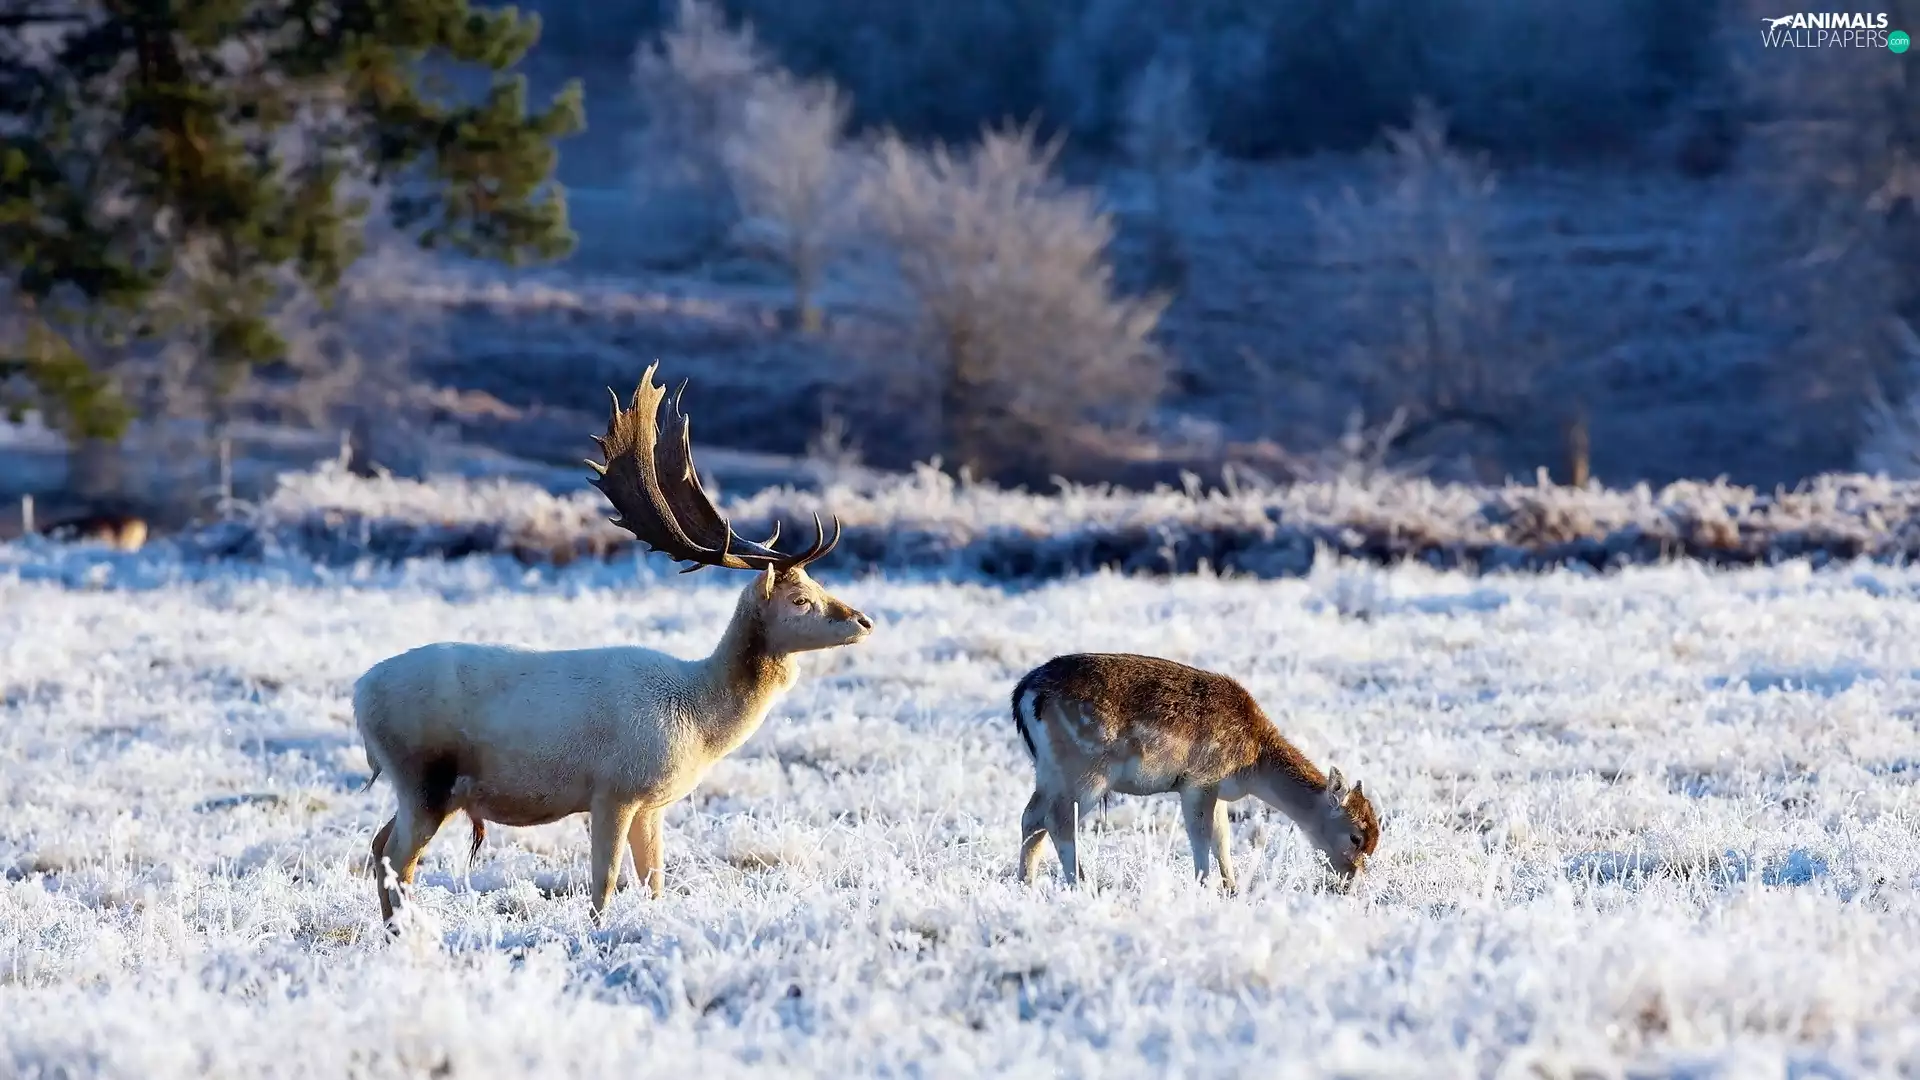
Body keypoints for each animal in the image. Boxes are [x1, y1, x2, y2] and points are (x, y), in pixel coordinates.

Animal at [353, 362, 874, 929]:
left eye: (819, 584)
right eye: (800, 599)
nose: (864, 621)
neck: (698, 718)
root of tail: (359, 694)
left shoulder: (653, 804)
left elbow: (655, 882)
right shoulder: (613, 789)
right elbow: (603, 882)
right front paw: (597, 932)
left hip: (420, 787)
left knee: (378, 844)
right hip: (424, 776)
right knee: (397, 855)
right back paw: (403, 931)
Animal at [1010, 653, 1380, 892]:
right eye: (1356, 837)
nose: (1352, 880)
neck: (1252, 765)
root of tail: (1023, 693)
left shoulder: (1216, 789)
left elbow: (1222, 837)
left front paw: (1232, 887)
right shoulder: (1199, 779)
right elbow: (1200, 835)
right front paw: (1206, 886)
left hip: (1048, 771)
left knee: (1031, 816)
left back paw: (1026, 882)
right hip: (1086, 771)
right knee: (1059, 820)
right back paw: (1083, 885)